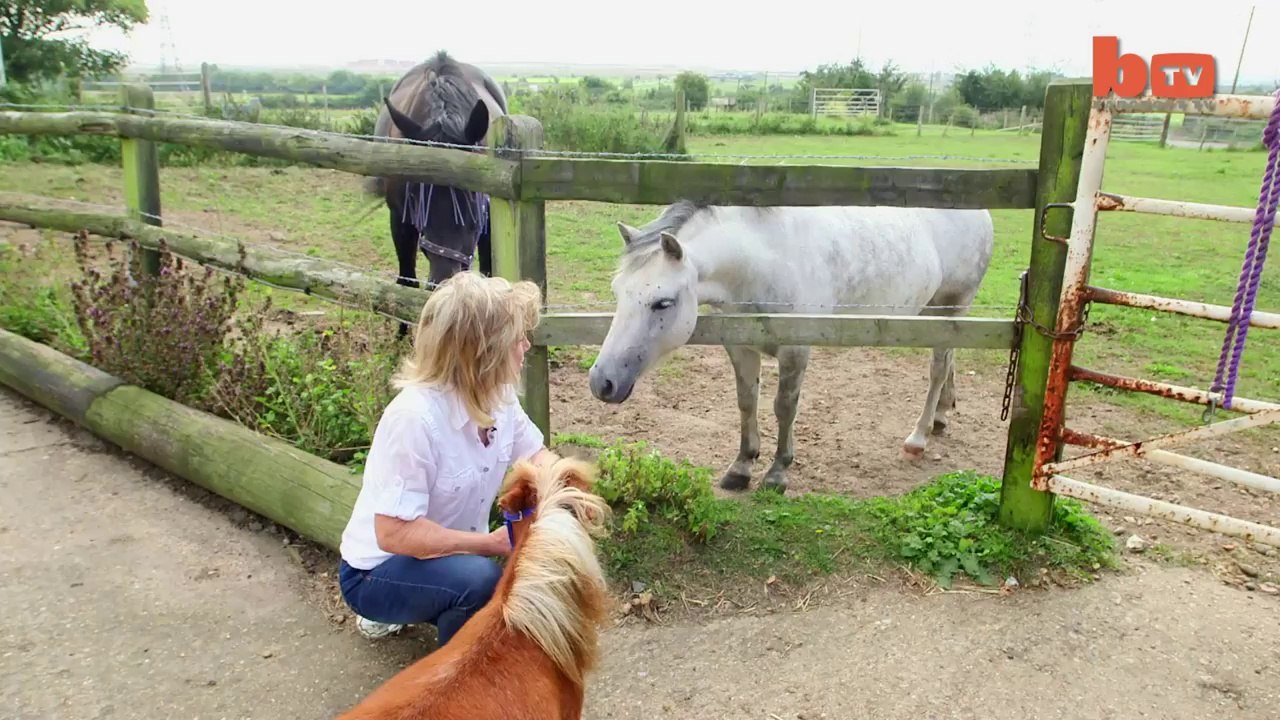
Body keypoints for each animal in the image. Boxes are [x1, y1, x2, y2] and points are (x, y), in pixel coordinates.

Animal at [586, 200, 995, 493]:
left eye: (663, 302)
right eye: (618, 292)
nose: (602, 382)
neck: (763, 262)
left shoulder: (796, 350)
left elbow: (784, 408)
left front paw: (777, 473)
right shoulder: (741, 346)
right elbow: (746, 402)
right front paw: (742, 466)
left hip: (953, 305)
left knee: (938, 368)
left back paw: (919, 437)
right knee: (950, 361)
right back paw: (942, 416)